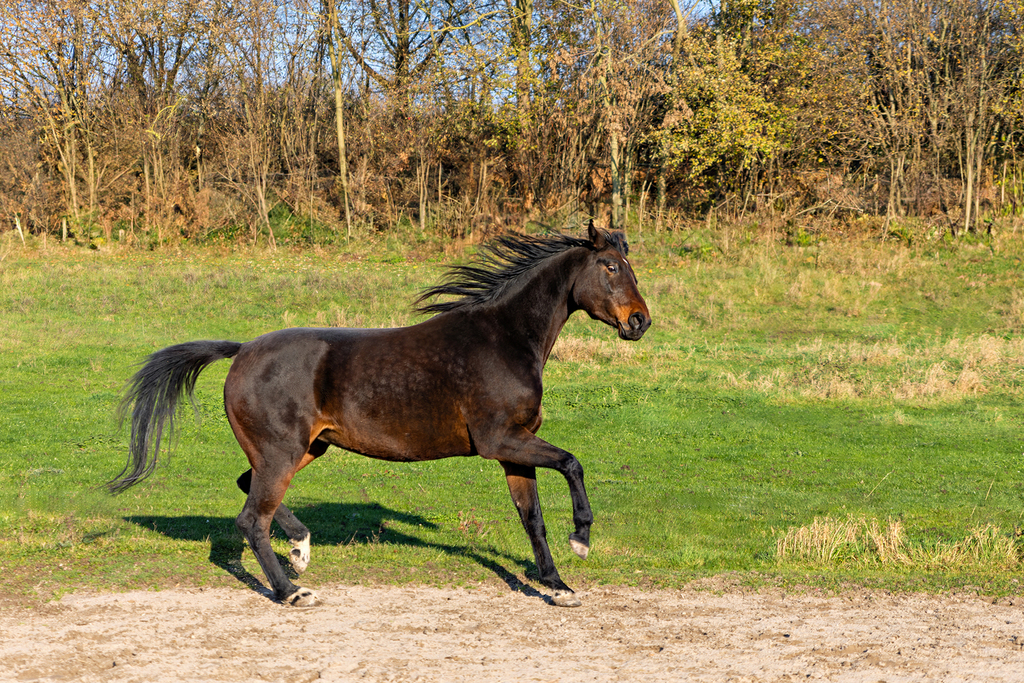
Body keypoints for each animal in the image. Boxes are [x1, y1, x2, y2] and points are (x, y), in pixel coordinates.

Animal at [109, 221, 651, 608]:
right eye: (609, 267)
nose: (640, 322)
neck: (505, 340)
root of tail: (241, 352)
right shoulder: (501, 440)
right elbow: (572, 463)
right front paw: (581, 539)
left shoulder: (513, 450)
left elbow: (532, 518)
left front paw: (558, 586)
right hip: (283, 451)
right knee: (251, 519)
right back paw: (292, 591)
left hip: (304, 448)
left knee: (248, 488)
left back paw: (301, 549)